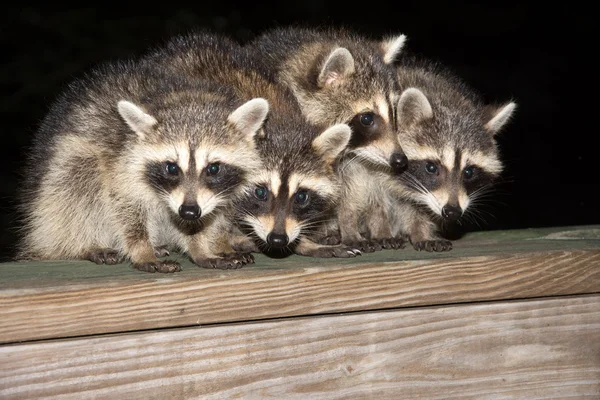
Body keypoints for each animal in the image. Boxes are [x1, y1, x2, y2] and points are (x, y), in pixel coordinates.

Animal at [18, 59, 268, 272]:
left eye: (213, 168)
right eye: (171, 168)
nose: (188, 210)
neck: (185, 99)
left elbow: (205, 219)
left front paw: (201, 246)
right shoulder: (121, 164)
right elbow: (126, 209)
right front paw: (142, 250)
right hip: (64, 172)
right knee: (79, 182)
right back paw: (84, 245)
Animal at [142, 33, 358, 260]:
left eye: (301, 196)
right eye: (260, 192)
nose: (278, 239)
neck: (280, 124)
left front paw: (304, 243)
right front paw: (226, 242)